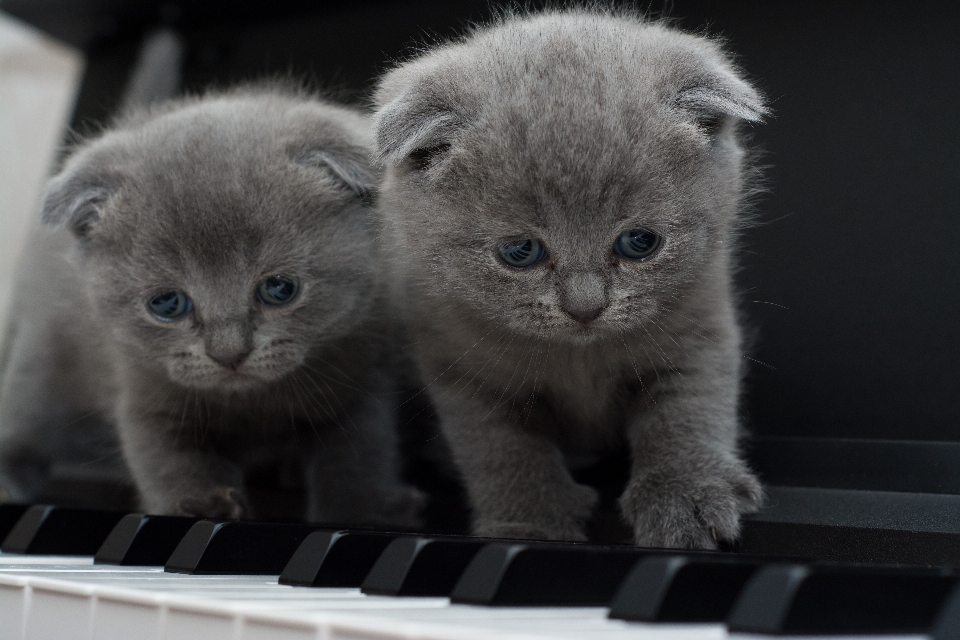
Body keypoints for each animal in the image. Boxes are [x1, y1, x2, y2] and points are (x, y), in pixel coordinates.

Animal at [0, 90, 420, 528]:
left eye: (279, 289)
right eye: (167, 304)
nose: (229, 353)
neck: (253, 404)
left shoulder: (362, 375)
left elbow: (358, 457)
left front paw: (361, 512)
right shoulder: (143, 391)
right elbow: (169, 460)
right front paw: (204, 506)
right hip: (46, 357)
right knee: (23, 422)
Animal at [372, 10, 768, 548]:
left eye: (640, 242)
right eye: (520, 252)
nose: (585, 306)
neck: (579, 358)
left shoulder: (699, 324)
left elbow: (689, 409)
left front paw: (686, 496)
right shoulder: (457, 362)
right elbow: (500, 448)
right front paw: (528, 521)